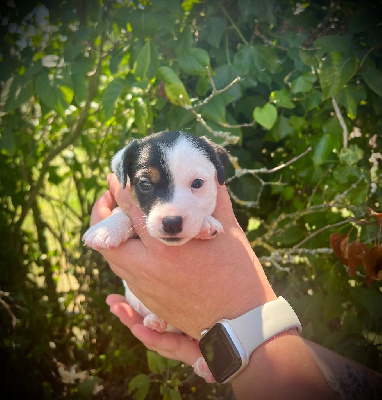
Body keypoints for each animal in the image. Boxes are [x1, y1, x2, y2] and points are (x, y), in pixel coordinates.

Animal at [82, 130, 228, 382]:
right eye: (144, 184)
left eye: (197, 184)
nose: (172, 222)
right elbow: (123, 214)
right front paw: (107, 228)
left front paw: (206, 224)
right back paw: (156, 321)